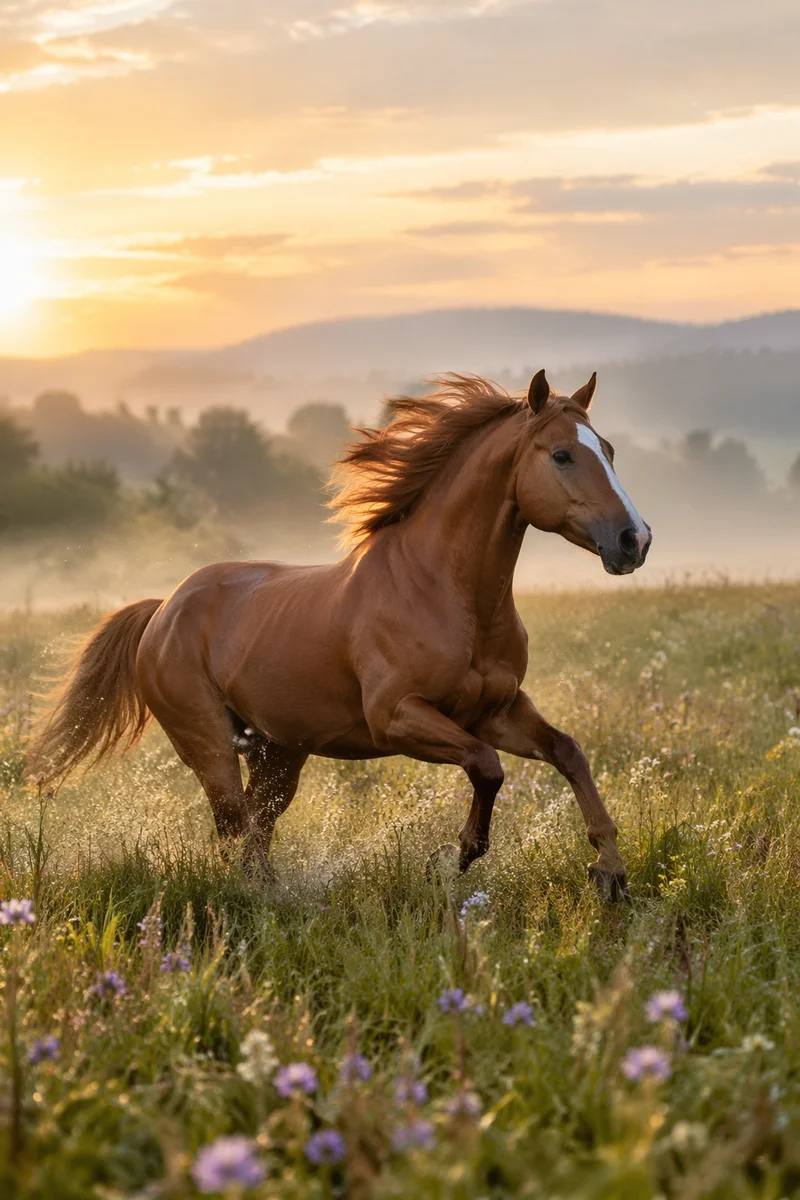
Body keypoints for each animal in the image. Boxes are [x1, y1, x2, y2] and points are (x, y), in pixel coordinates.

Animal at [29, 369, 651, 900]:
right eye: (563, 454)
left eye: (609, 451)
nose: (634, 540)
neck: (448, 594)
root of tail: (164, 610)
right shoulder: (397, 717)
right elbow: (487, 766)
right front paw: (460, 854)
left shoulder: (497, 711)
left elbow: (567, 752)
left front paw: (610, 872)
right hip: (209, 745)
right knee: (234, 827)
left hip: (279, 754)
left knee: (256, 828)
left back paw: (274, 896)